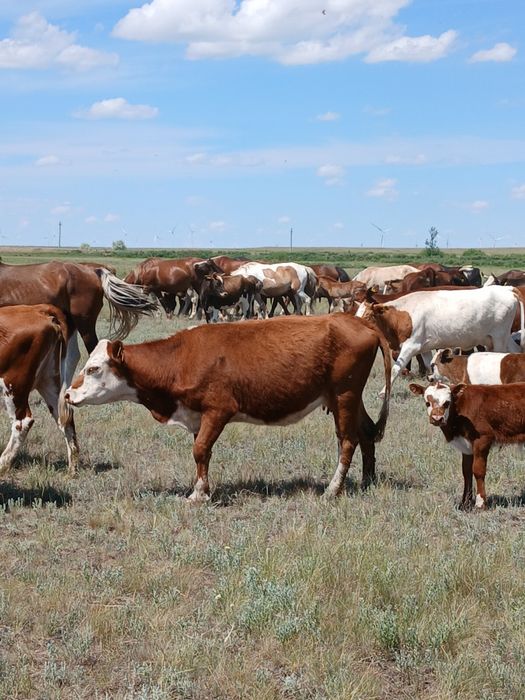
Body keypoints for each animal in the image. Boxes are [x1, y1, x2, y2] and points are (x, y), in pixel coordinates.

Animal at [0, 305, 78, 477]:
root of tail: (38, 309)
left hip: (14, 384)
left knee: (22, 422)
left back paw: (2, 464)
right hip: (49, 381)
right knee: (65, 418)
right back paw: (72, 469)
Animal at [65, 315, 392, 502]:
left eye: (93, 368)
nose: (68, 394)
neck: (183, 357)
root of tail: (360, 322)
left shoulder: (218, 410)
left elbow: (200, 450)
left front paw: (199, 495)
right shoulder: (197, 415)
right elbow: (202, 452)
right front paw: (202, 488)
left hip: (344, 395)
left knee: (347, 440)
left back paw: (333, 489)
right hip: (348, 398)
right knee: (366, 434)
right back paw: (366, 481)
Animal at [357, 286, 525, 393]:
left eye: (368, 316)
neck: (403, 315)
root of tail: (507, 289)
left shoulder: (411, 346)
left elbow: (396, 368)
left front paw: (383, 392)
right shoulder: (423, 348)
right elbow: (428, 365)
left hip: (499, 337)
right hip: (501, 338)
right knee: (516, 351)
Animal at [409, 381, 525, 509]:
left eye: (447, 403)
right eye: (427, 403)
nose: (437, 418)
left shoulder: (482, 439)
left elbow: (478, 470)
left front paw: (480, 503)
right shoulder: (466, 447)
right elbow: (466, 472)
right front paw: (465, 503)